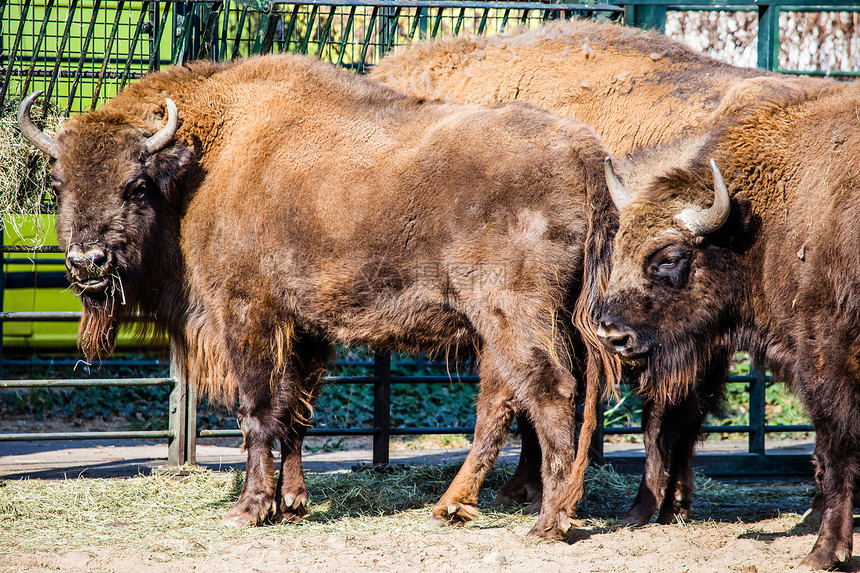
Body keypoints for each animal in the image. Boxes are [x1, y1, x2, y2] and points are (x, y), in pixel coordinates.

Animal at [18, 52, 620, 536]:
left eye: (136, 185)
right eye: (59, 184)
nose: (87, 262)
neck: (207, 164)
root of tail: (586, 155)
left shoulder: (247, 314)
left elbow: (259, 410)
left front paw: (251, 508)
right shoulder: (305, 329)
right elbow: (295, 413)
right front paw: (292, 503)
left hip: (512, 315)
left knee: (547, 392)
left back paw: (549, 521)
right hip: (500, 325)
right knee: (499, 402)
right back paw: (454, 505)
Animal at [596, 80, 852, 568]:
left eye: (670, 258)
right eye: (617, 250)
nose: (614, 335)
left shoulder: (827, 360)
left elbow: (836, 447)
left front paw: (824, 552)